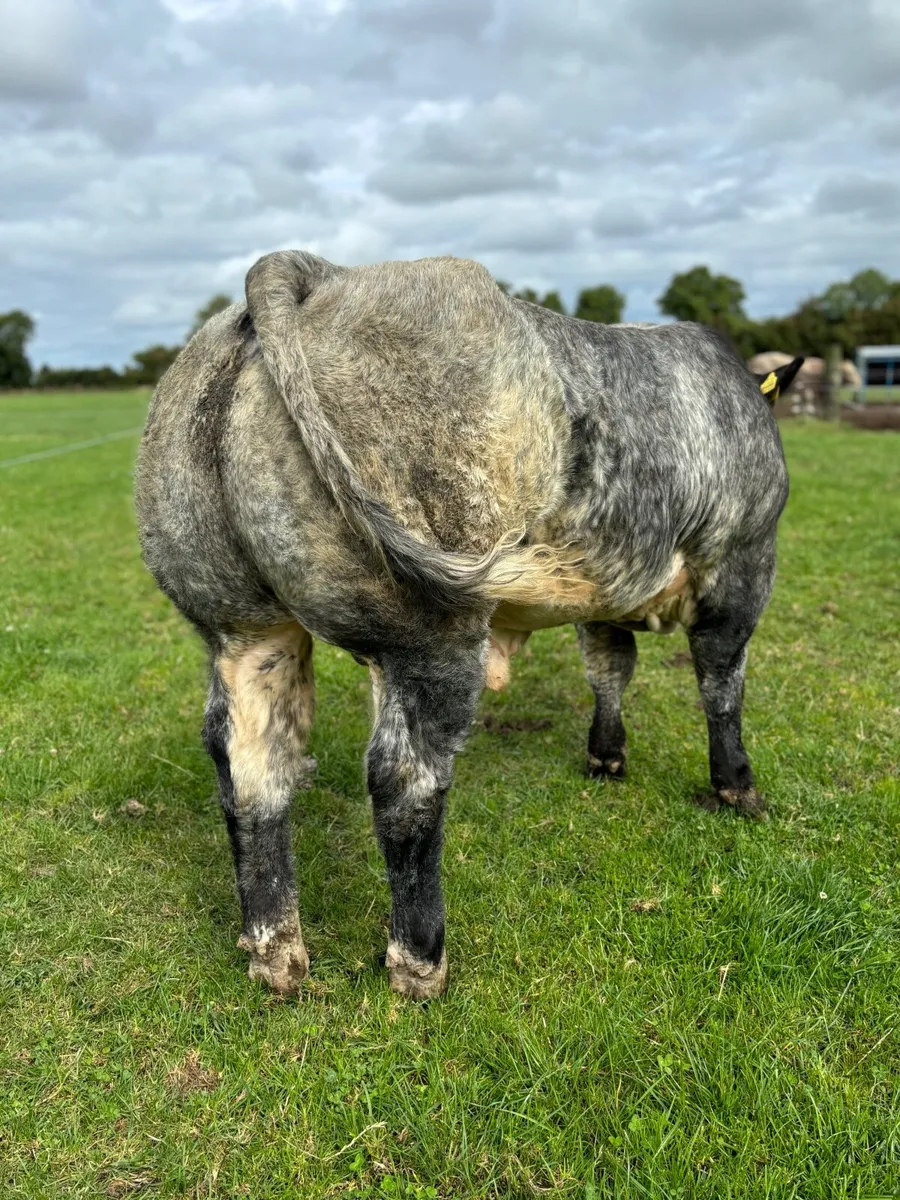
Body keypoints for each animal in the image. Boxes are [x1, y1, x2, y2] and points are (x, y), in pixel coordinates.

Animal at [135, 251, 790, 1000]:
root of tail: (314, 271)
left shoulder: (604, 591)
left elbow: (610, 667)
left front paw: (606, 757)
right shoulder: (742, 560)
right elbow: (721, 683)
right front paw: (738, 787)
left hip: (243, 626)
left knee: (250, 764)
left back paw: (276, 954)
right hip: (431, 633)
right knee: (405, 778)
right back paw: (420, 960)